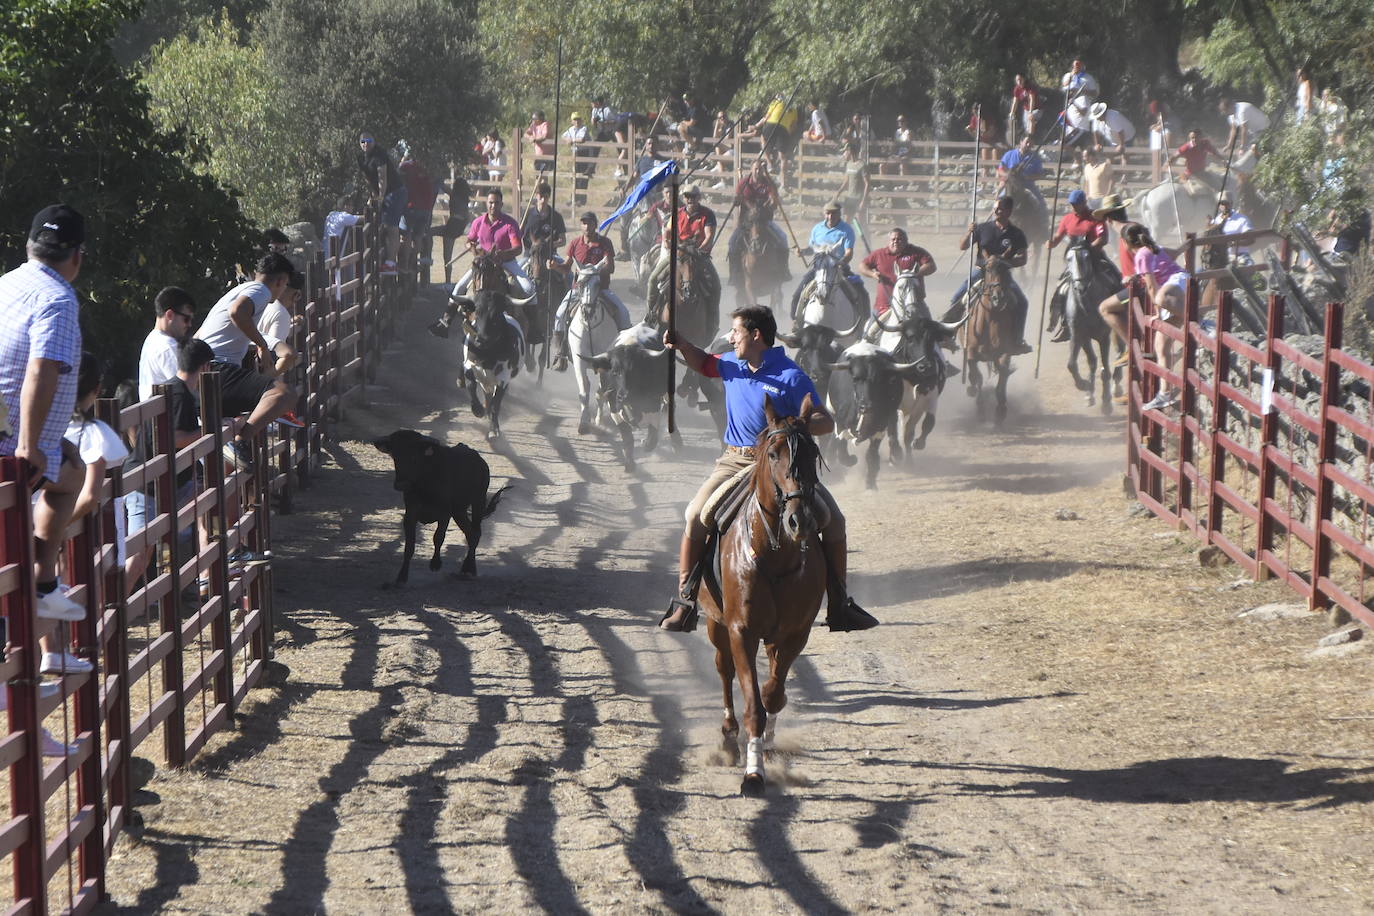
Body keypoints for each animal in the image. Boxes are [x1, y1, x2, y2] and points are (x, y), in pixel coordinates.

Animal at [703, 398, 818, 796]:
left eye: (814, 453)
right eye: (773, 454)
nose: (800, 520)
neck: (773, 554)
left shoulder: (796, 632)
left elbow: (772, 694)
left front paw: (765, 745)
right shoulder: (741, 630)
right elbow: (754, 702)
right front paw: (753, 774)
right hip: (715, 623)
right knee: (723, 669)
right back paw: (728, 738)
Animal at [967, 254, 1022, 425]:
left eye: (1006, 269)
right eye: (988, 269)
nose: (998, 297)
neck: (991, 318)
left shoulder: (1005, 352)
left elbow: (1003, 375)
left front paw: (1001, 410)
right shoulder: (971, 352)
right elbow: (976, 376)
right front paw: (980, 408)